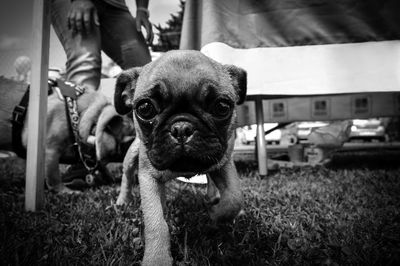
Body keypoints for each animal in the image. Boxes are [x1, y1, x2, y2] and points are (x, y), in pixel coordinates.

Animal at [113, 49, 247, 264]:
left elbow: (234, 198)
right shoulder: (148, 177)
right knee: (126, 176)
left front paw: (216, 214)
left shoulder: (223, 164)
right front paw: (157, 258)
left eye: (222, 107)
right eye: (145, 108)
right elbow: (156, 222)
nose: (182, 128)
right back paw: (123, 201)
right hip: (132, 155)